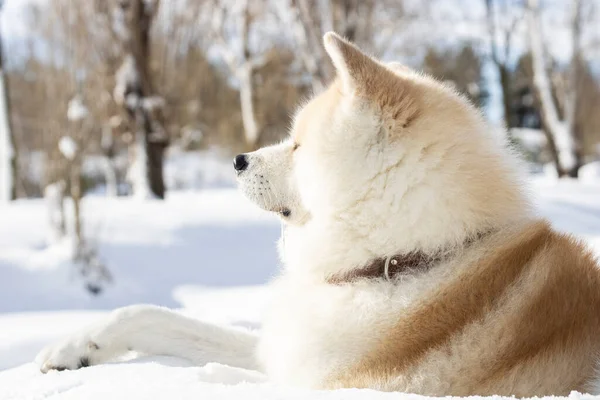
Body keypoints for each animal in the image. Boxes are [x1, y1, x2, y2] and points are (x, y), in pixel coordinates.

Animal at [34, 32, 600, 396]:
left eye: (299, 144)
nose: (237, 160)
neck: (403, 260)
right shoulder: (283, 351)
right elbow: (151, 316)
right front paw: (76, 347)